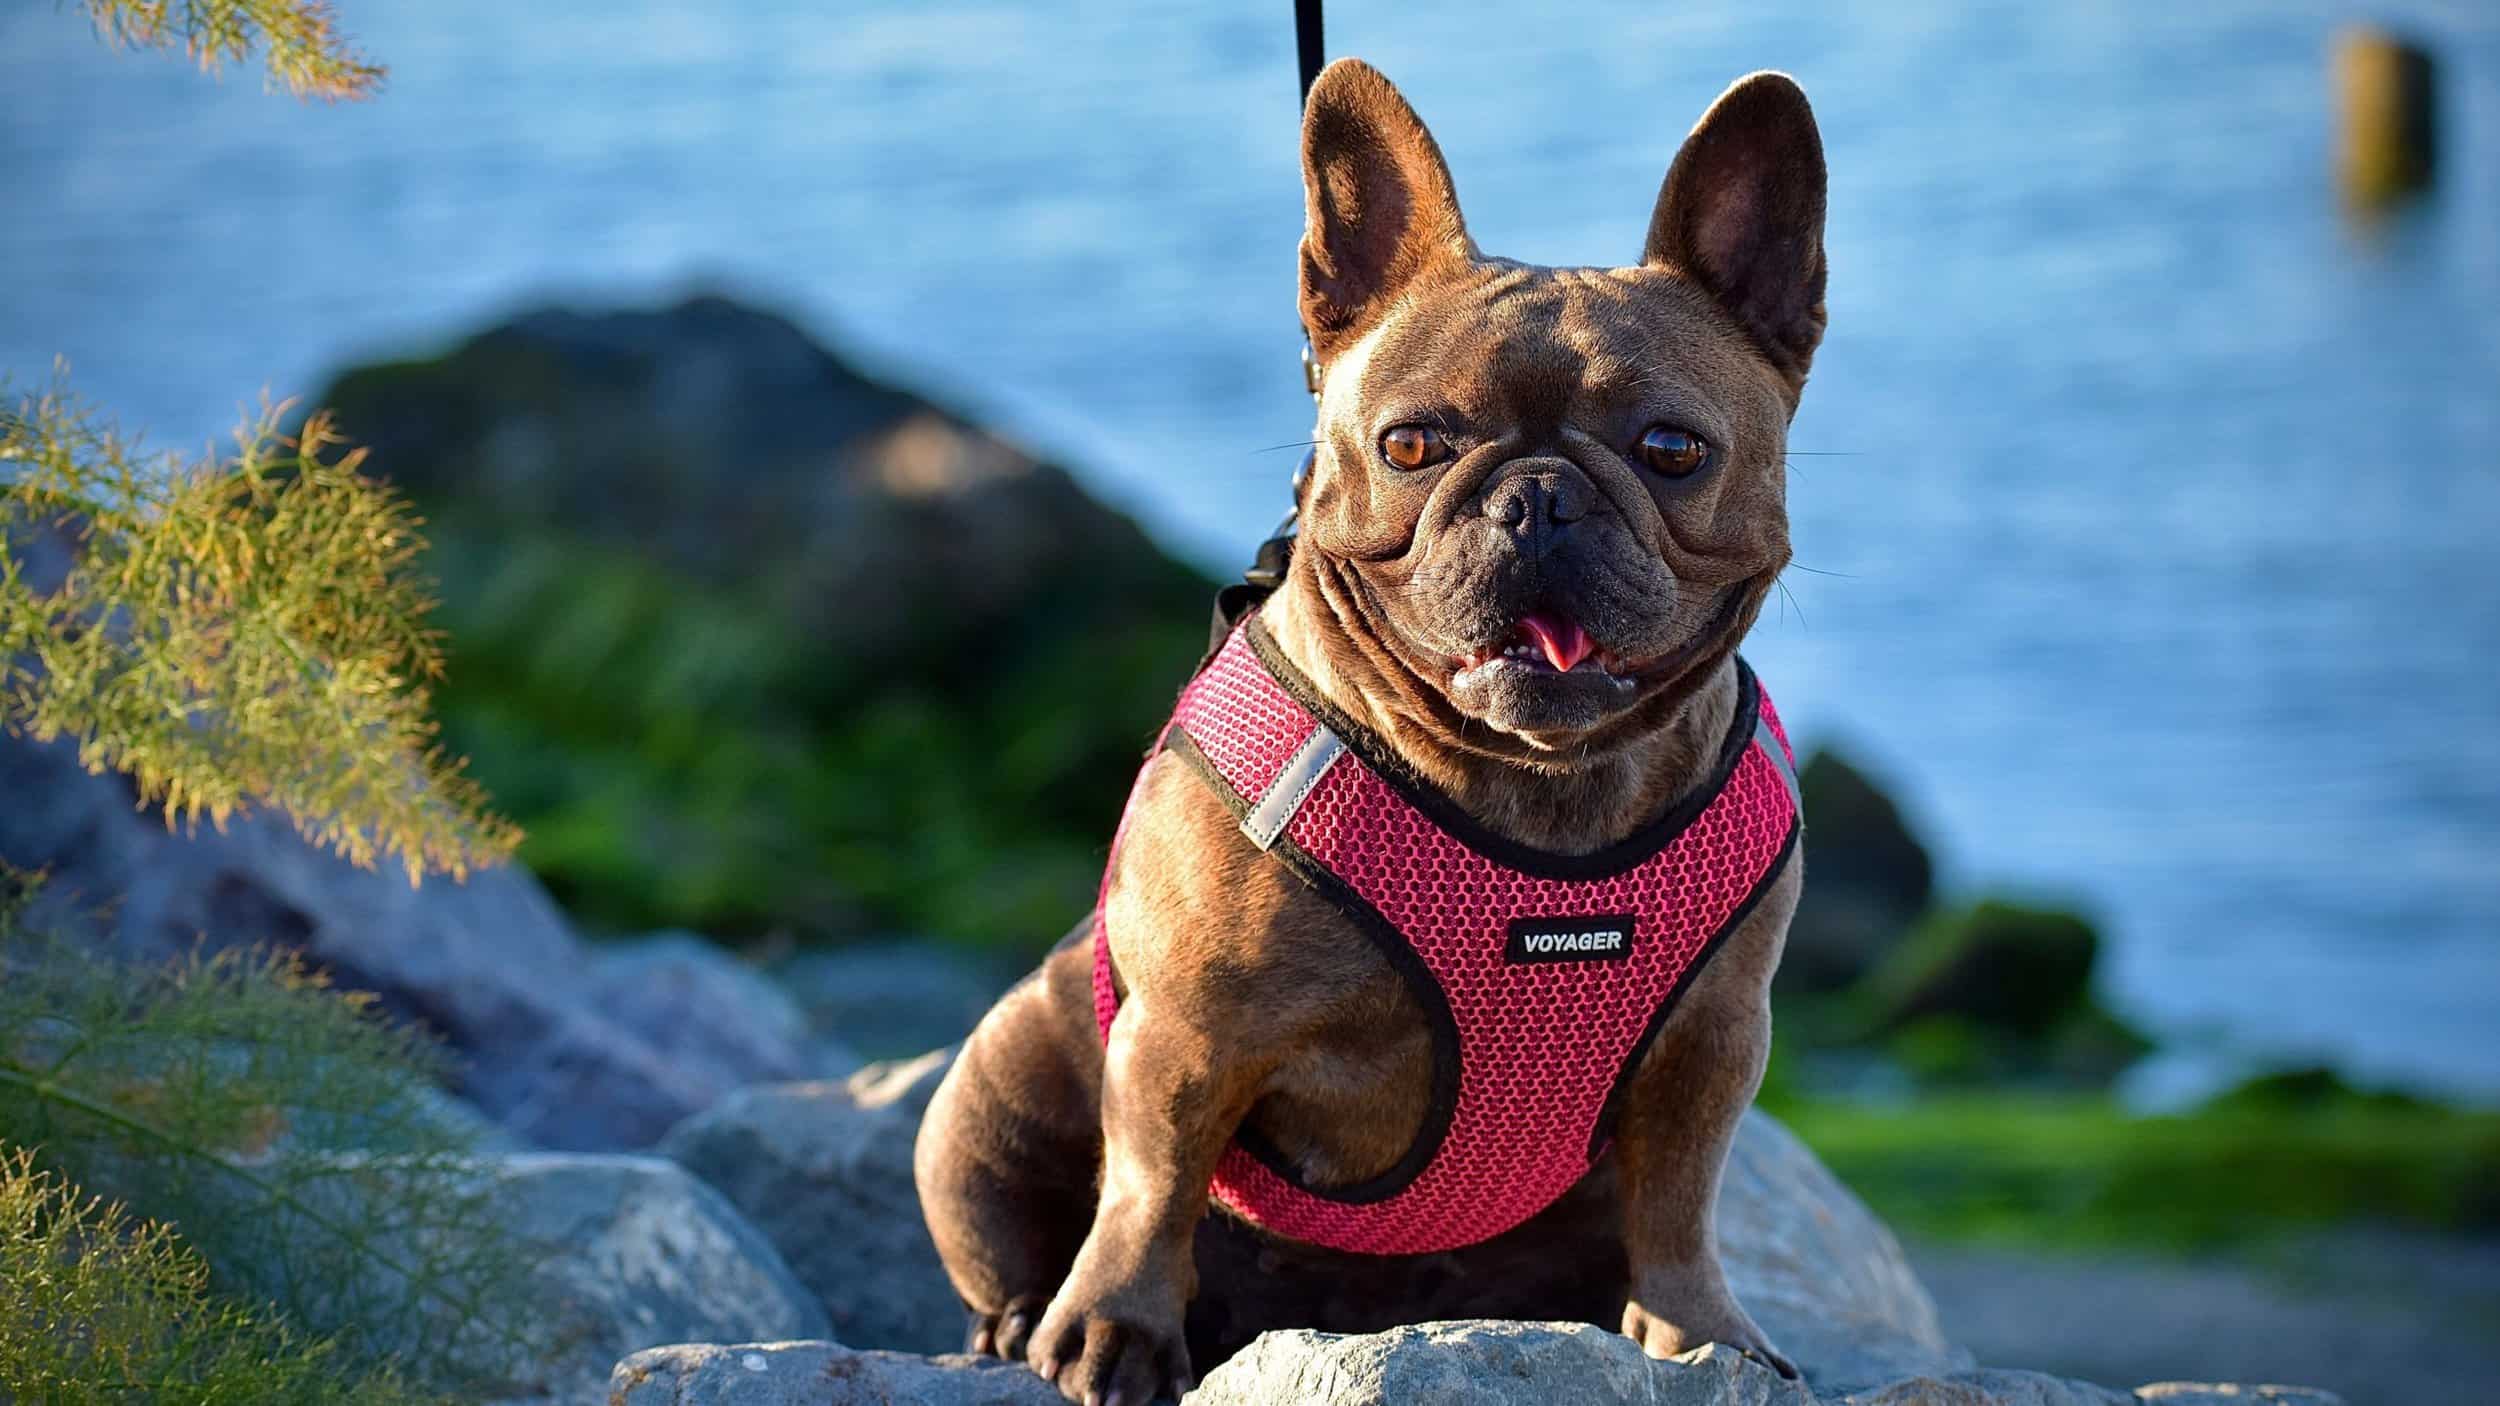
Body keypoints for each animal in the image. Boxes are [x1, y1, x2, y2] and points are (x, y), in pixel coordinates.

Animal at [915, 57, 1820, 1400]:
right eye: (1409, 444)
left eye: (1671, 449)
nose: (1536, 497)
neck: (1539, 784)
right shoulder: (1185, 1036)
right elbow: (1150, 1181)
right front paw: (1114, 1329)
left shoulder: (1712, 1044)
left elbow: (1678, 1202)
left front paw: (1701, 1327)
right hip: (999, 1071)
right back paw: (1026, 1315)